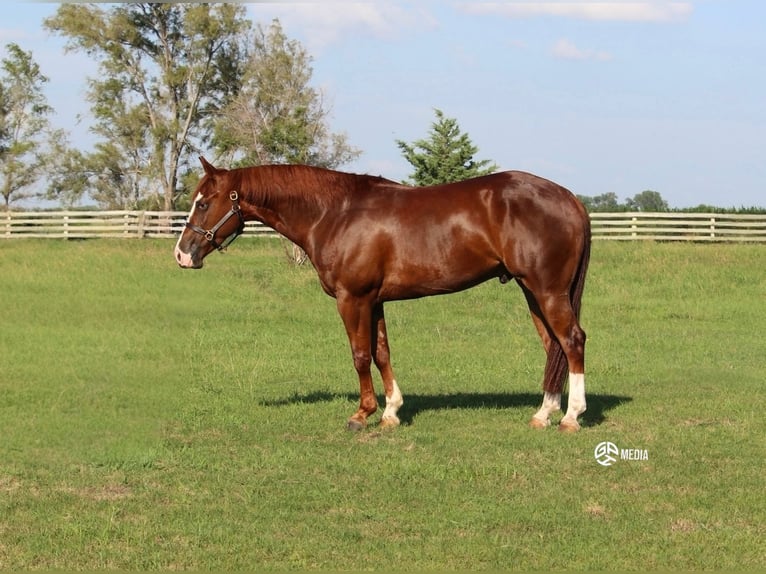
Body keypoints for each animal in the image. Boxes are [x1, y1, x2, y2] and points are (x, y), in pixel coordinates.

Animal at [175, 157, 591, 432]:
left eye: (203, 202)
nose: (182, 254)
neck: (335, 212)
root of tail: (570, 198)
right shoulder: (374, 301)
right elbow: (382, 352)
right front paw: (391, 411)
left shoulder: (353, 298)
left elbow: (360, 355)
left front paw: (362, 414)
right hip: (533, 293)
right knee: (553, 346)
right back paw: (543, 414)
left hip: (547, 291)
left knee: (572, 341)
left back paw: (571, 416)